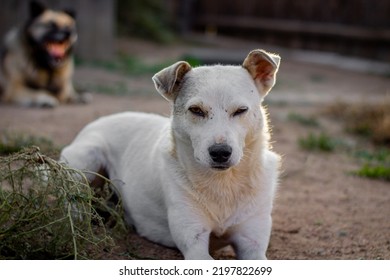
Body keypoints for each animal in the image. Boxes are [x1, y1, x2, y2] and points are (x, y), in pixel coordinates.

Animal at [60, 48, 280, 260]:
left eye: (241, 110)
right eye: (196, 110)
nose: (220, 152)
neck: (224, 183)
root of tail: (99, 120)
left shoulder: (252, 244)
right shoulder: (194, 244)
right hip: (87, 159)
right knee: (72, 195)